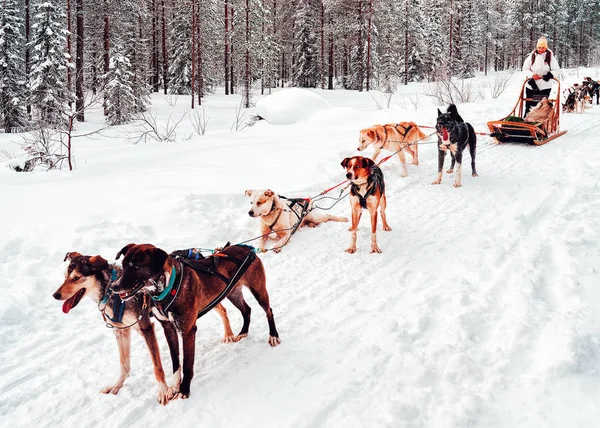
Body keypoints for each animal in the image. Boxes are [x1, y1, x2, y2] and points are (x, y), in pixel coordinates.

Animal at [51, 251, 236, 404]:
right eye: (65, 277)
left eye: (76, 278)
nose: (55, 295)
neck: (111, 293)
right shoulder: (121, 331)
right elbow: (124, 365)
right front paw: (116, 387)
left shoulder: (146, 328)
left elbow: (157, 366)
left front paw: (163, 391)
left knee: (223, 309)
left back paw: (229, 334)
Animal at [109, 244, 278, 402]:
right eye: (123, 265)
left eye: (136, 266)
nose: (113, 287)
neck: (169, 287)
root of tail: (246, 247)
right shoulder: (168, 328)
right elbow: (176, 361)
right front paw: (174, 386)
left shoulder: (187, 330)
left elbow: (187, 364)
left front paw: (184, 389)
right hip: (233, 294)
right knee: (247, 310)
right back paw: (243, 332)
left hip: (258, 291)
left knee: (268, 310)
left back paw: (273, 336)